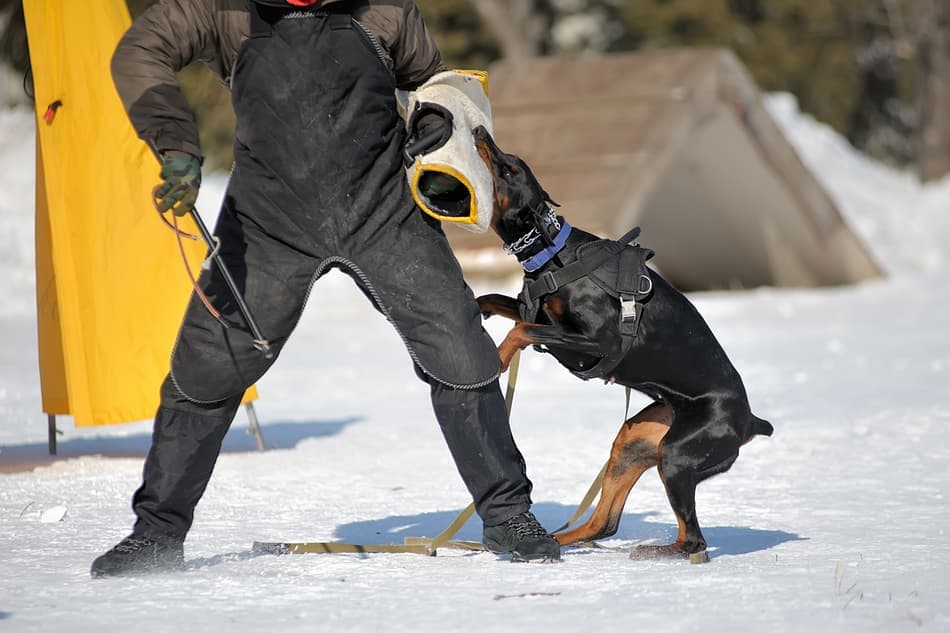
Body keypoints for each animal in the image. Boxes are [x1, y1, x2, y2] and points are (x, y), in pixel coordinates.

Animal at [472, 126, 776, 560]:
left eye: (509, 168)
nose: (481, 131)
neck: (554, 253)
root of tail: (750, 421)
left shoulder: (596, 342)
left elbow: (521, 331)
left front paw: (497, 360)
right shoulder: (542, 315)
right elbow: (498, 302)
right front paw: (475, 309)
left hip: (677, 455)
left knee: (693, 540)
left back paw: (655, 551)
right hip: (636, 439)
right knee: (604, 522)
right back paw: (555, 541)